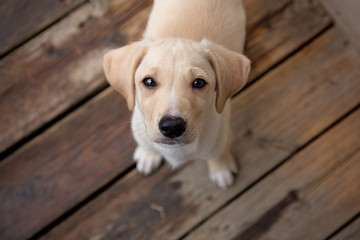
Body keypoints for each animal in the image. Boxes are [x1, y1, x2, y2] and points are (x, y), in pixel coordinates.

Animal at [103, 0, 250, 188]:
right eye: (149, 81)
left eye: (199, 83)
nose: (172, 126)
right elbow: (147, 144)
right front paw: (147, 155)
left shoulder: (221, 138)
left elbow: (218, 154)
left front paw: (221, 169)